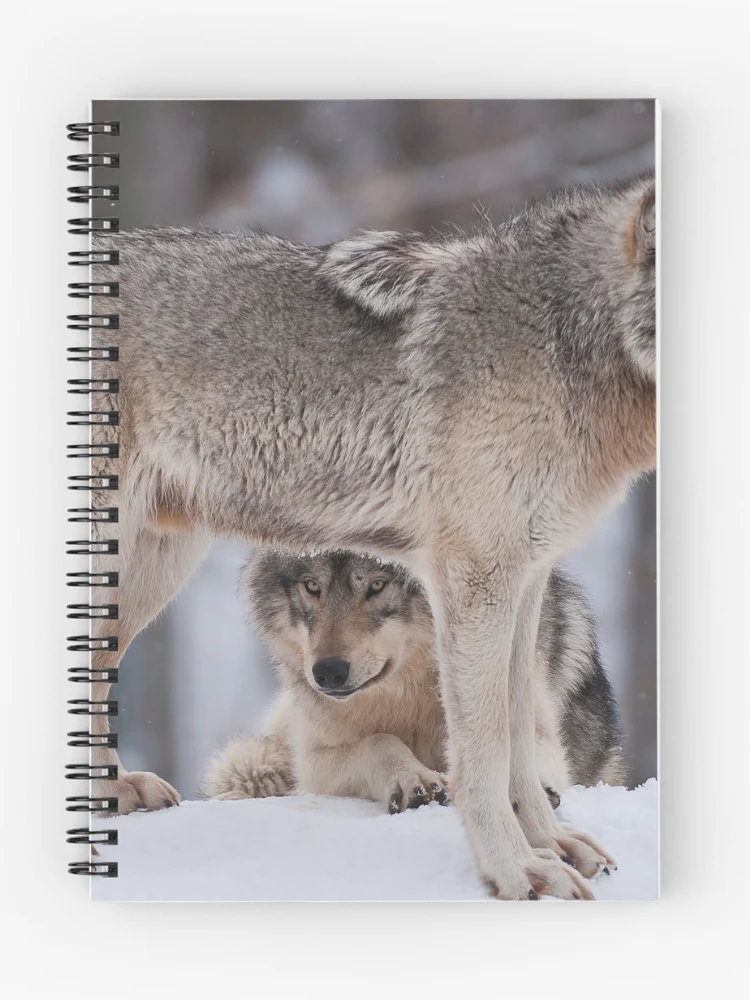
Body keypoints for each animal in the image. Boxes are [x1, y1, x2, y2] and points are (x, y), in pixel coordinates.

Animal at [201, 550, 625, 862]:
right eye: (311, 586)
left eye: (377, 585)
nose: (328, 673)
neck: (408, 693)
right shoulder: (314, 761)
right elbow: (380, 741)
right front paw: (413, 779)